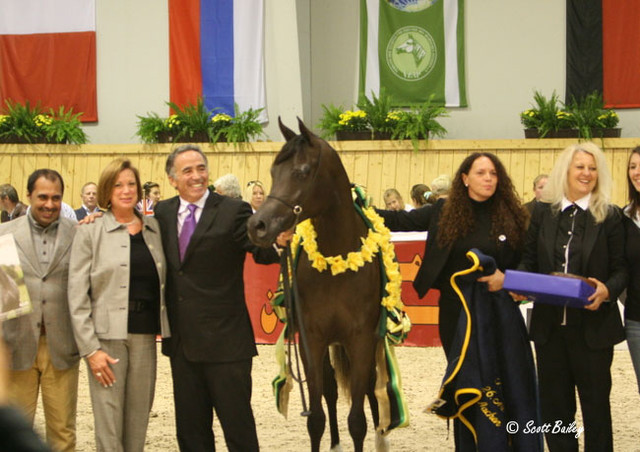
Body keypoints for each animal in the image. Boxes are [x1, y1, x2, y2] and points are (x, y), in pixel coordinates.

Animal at [247, 118, 388, 452]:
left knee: (370, 390)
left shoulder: (361, 341)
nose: (258, 226)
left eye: (302, 171)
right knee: (331, 390)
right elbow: (316, 417)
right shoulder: (312, 341)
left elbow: (357, 420)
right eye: (273, 172)